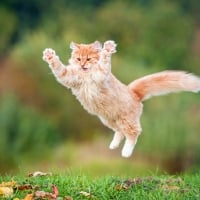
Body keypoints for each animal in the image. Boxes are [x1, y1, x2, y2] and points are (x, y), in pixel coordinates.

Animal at [42, 40, 200, 158]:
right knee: (120, 132)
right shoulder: (68, 77)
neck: (85, 75)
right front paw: (49, 56)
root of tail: (134, 92)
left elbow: (104, 61)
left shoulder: (102, 74)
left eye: (88, 59)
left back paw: (126, 152)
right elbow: (58, 67)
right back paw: (113, 145)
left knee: (133, 133)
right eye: (78, 58)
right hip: (108, 120)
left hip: (126, 120)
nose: (82, 65)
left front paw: (108, 49)